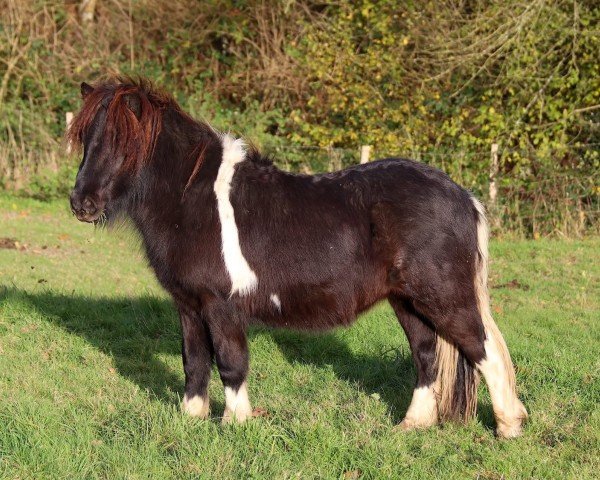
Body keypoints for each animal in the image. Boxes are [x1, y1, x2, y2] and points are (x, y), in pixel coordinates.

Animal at [68, 79, 528, 438]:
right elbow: (194, 363)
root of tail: (465, 197)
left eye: (123, 144)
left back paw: (509, 427)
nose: (81, 204)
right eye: (86, 140)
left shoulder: (220, 304)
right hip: (408, 302)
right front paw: (191, 420)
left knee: (484, 350)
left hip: (443, 298)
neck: (192, 199)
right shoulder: (188, 304)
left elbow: (230, 363)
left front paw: (236, 423)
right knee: (427, 356)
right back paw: (412, 425)